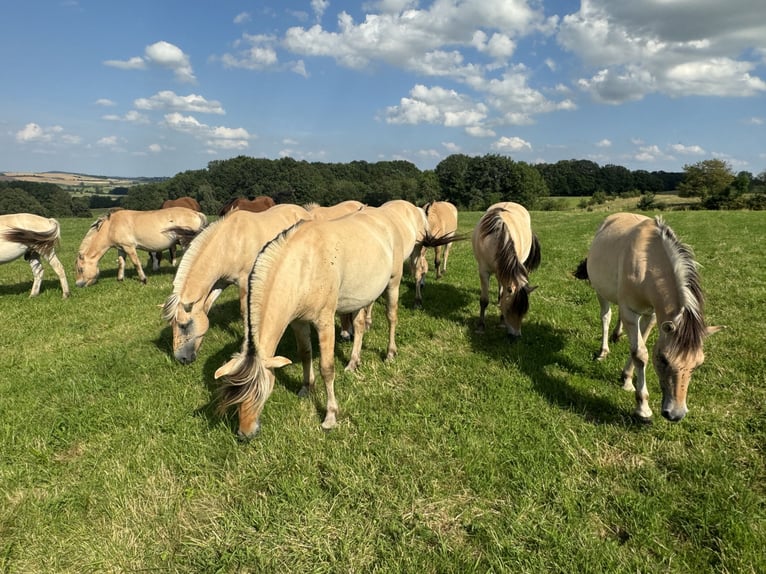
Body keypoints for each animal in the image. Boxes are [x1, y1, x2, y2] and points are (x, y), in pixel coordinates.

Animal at [76, 207, 207, 288]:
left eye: (81, 269)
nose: (78, 284)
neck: (111, 226)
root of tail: (196, 213)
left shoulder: (129, 247)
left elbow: (136, 263)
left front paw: (143, 280)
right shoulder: (121, 249)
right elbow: (121, 263)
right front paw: (120, 279)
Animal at [164, 204, 314, 364]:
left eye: (184, 325)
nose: (181, 359)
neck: (228, 244)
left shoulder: (244, 282)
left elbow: (245, 313)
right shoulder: (221, 283)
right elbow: (207, 306)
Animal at [472, 202, 544, 338]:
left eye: (524, 312)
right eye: (511, 310)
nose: (516, 336)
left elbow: (504, 294)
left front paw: (501, 322)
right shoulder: (483, 271)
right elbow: (484, 300)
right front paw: (480, 327)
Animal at [572, 214, 724, 420]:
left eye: (698, 364)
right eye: (663, 359)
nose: (675, 414)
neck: (647, 264)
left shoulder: (651, 315)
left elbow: (639, 345)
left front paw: (627, 379)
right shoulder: (631, 312)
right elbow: (640, 353)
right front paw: (642, 407)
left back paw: (617, 335)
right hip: (600, 291)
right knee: (606, 316)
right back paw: (603, 351)